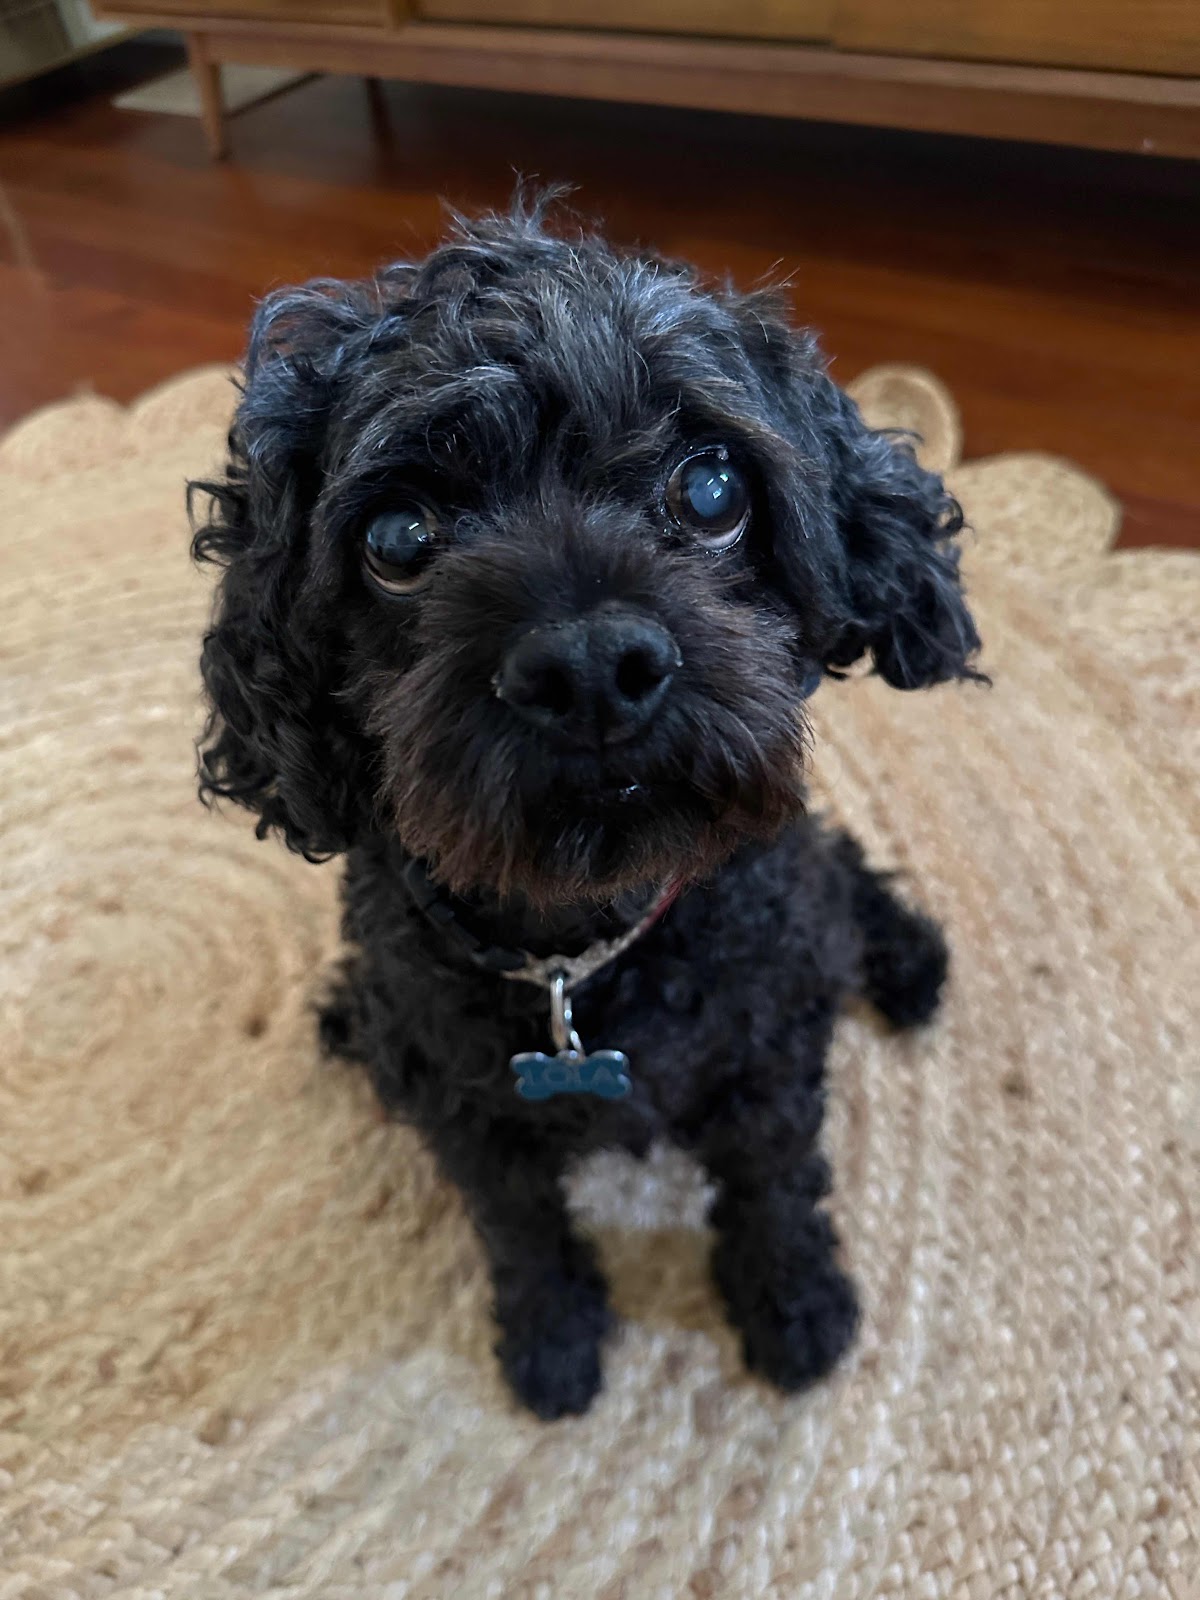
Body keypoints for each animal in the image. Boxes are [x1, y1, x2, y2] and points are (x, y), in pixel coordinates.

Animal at [192, 194, 981, 1420]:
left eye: (713, 487)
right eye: (397, 540)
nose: (592, 665)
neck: (580, 952)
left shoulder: (766, 1064)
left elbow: (775, 1192)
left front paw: (796, 1312)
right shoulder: (471, 1119)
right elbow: (521, 1231)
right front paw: (553, 1345)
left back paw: (903, 960)